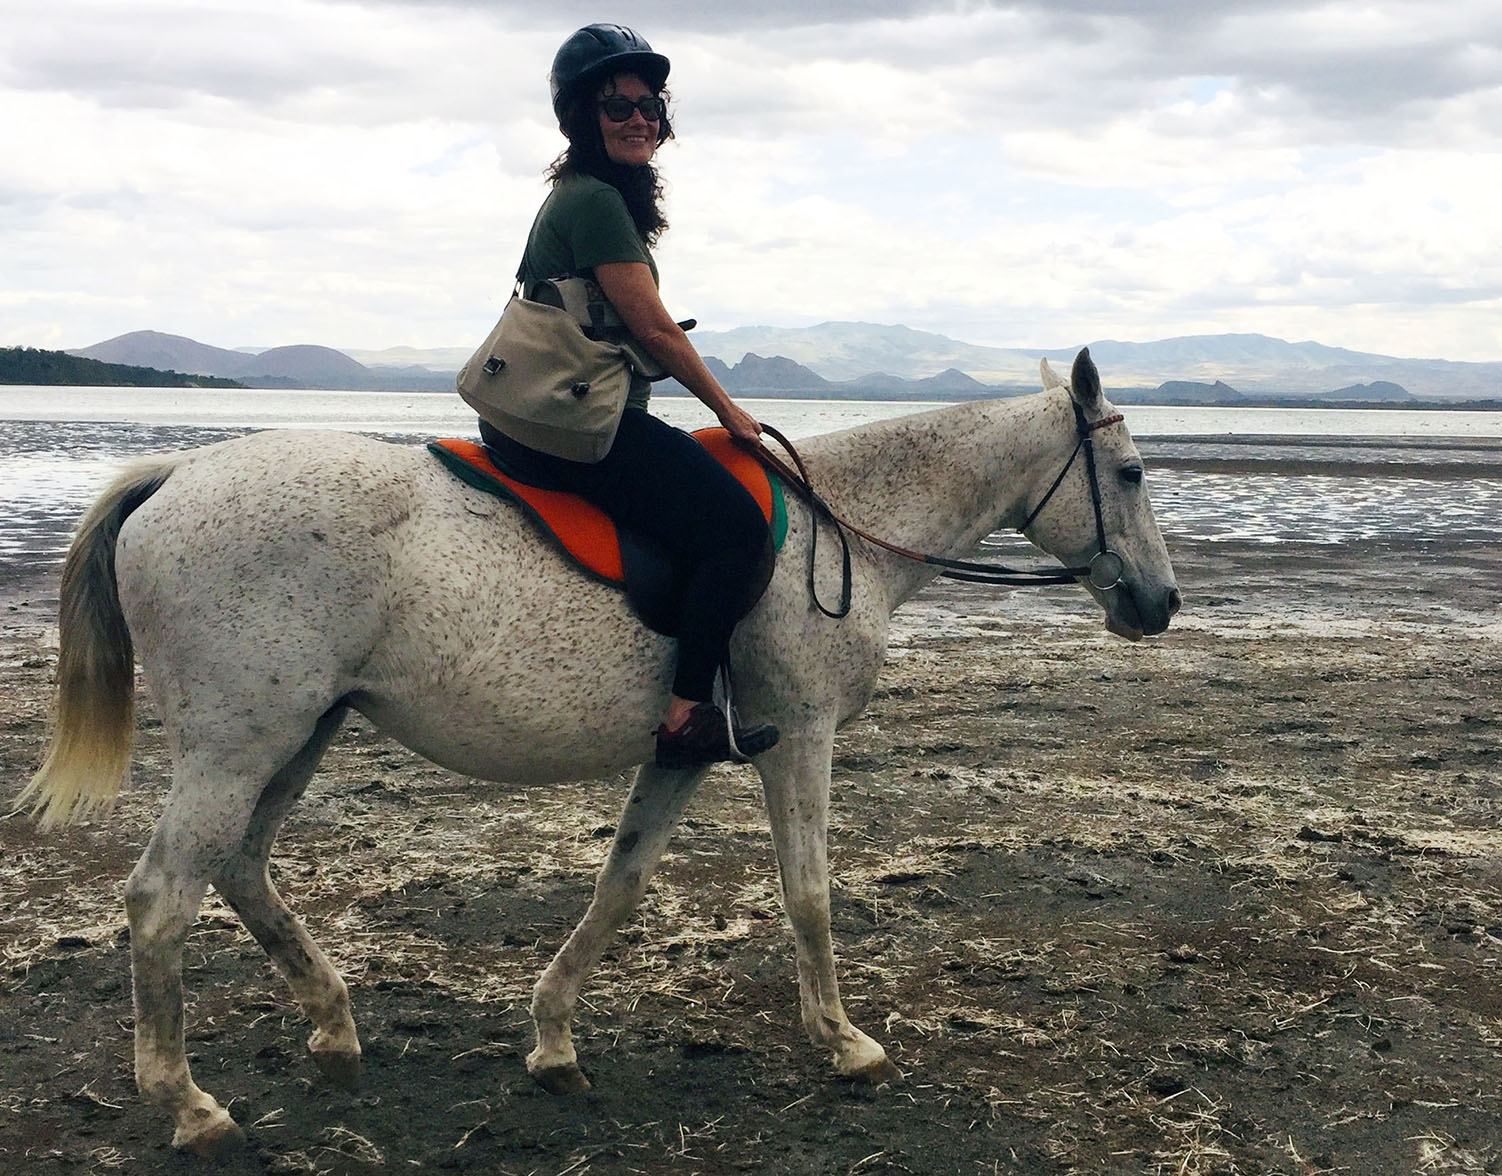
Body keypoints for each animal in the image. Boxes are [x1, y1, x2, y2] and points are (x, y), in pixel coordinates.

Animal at [17, 349, 1177, 1159]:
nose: (1159, 603)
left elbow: (619, 887)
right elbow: (807, 895)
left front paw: (553, 1041)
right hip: (239, 742)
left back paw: (335, 1028)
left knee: (243, 867)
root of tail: (177, 473)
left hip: (299, 731)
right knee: (163, 897)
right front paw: (845, 1044)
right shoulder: (797, 740)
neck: (837, 529)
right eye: (1126, 471)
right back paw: (190, 1105)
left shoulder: (685, 752)